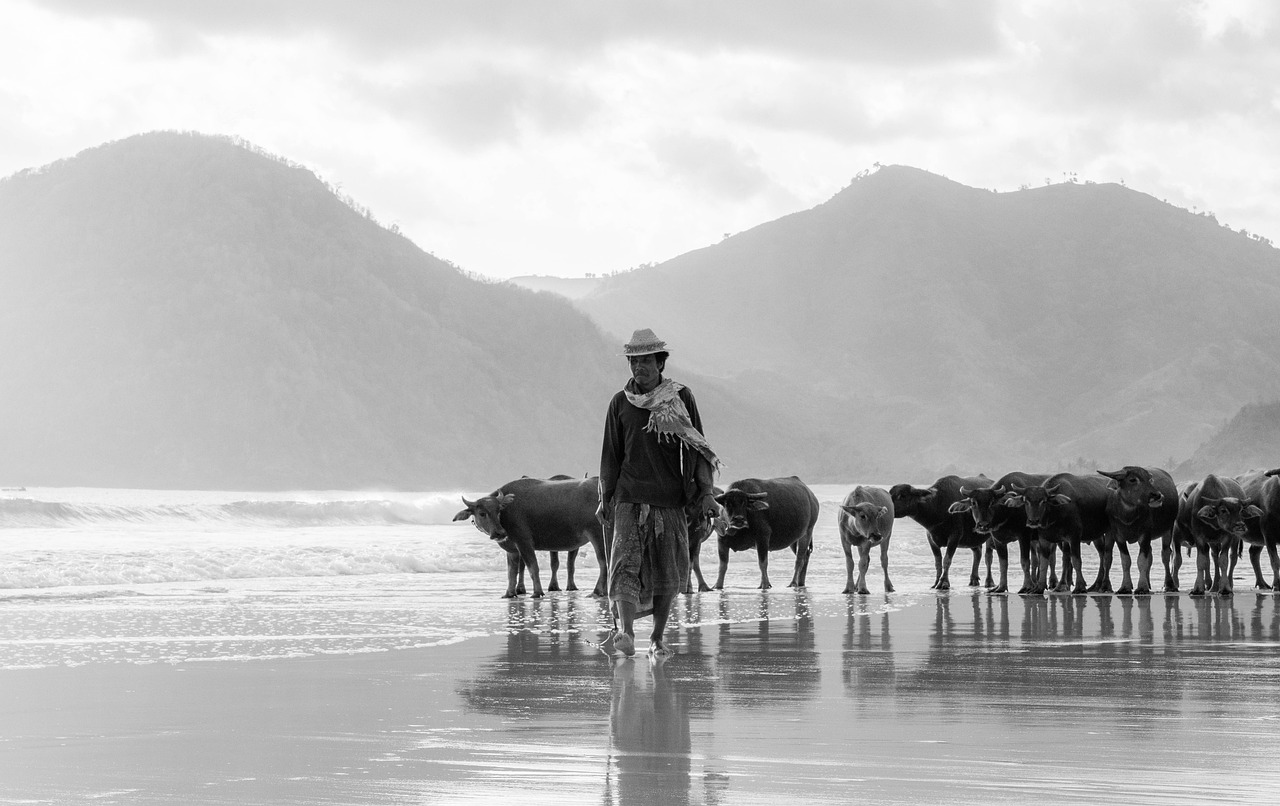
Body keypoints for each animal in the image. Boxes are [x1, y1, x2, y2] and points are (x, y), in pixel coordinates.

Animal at [453, 473, 606, 601]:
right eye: (482, 513)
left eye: (498, 511)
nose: (499, 533)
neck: (507, 514)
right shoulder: (512, 550)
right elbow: (512, 572)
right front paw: (509, 593)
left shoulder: (524, 543)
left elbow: (533, 568)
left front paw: (537, 592)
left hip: (597, 535)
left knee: (603, 562)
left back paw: (597, 591)